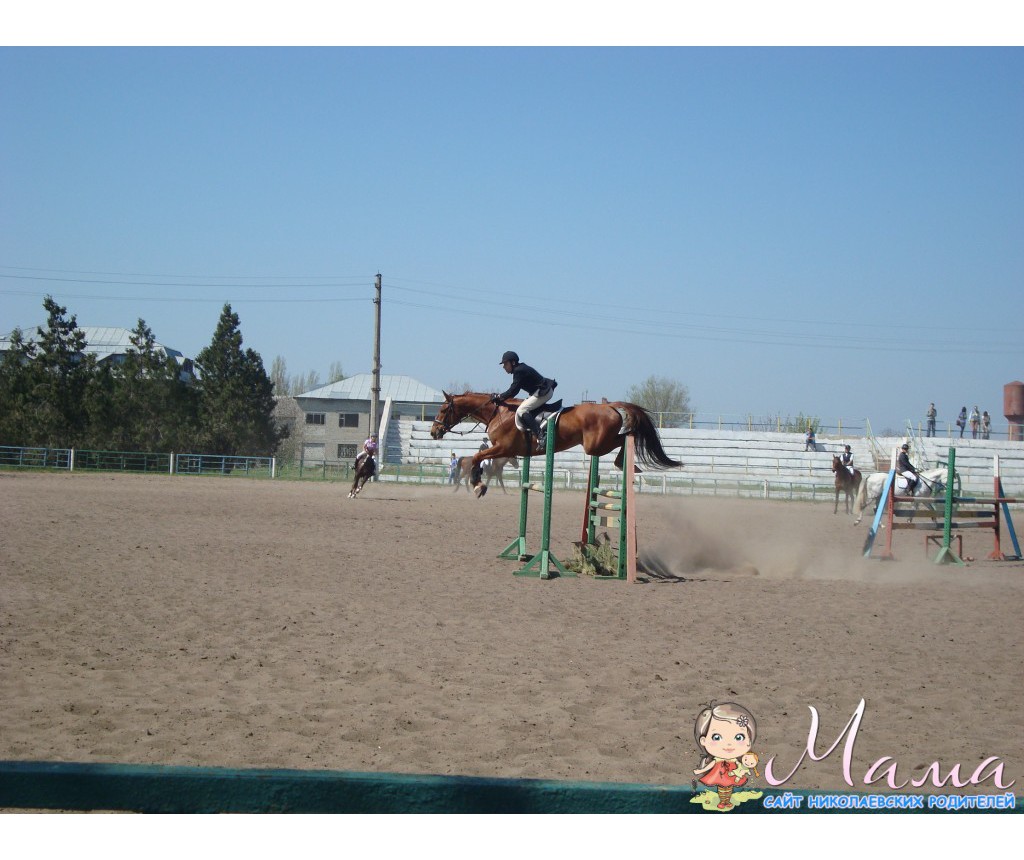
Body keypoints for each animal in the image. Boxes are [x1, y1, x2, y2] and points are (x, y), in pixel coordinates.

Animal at [430, 391, 681, 496]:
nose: (434, 432)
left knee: (625, 437)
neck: (498, 413)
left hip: (595, 445)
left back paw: (626, 463)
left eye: (442, 409)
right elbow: (477, 458)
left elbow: (476, 457)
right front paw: (478, 484)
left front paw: (478, 485)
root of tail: (609, 405)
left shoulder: (504, 448)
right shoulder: (503, 450)